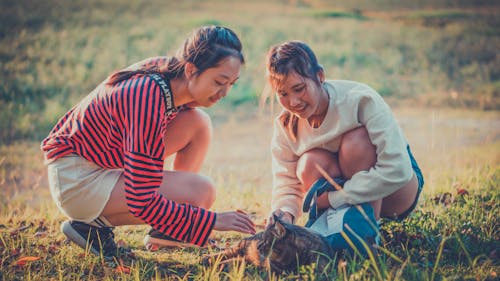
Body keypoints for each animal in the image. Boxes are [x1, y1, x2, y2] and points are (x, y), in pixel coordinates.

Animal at [202, 215, 336, 272]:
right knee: (225, 253)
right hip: (241, 248)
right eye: (262, 240)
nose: (257, 246)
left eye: (266, 241)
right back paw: (207, 258)